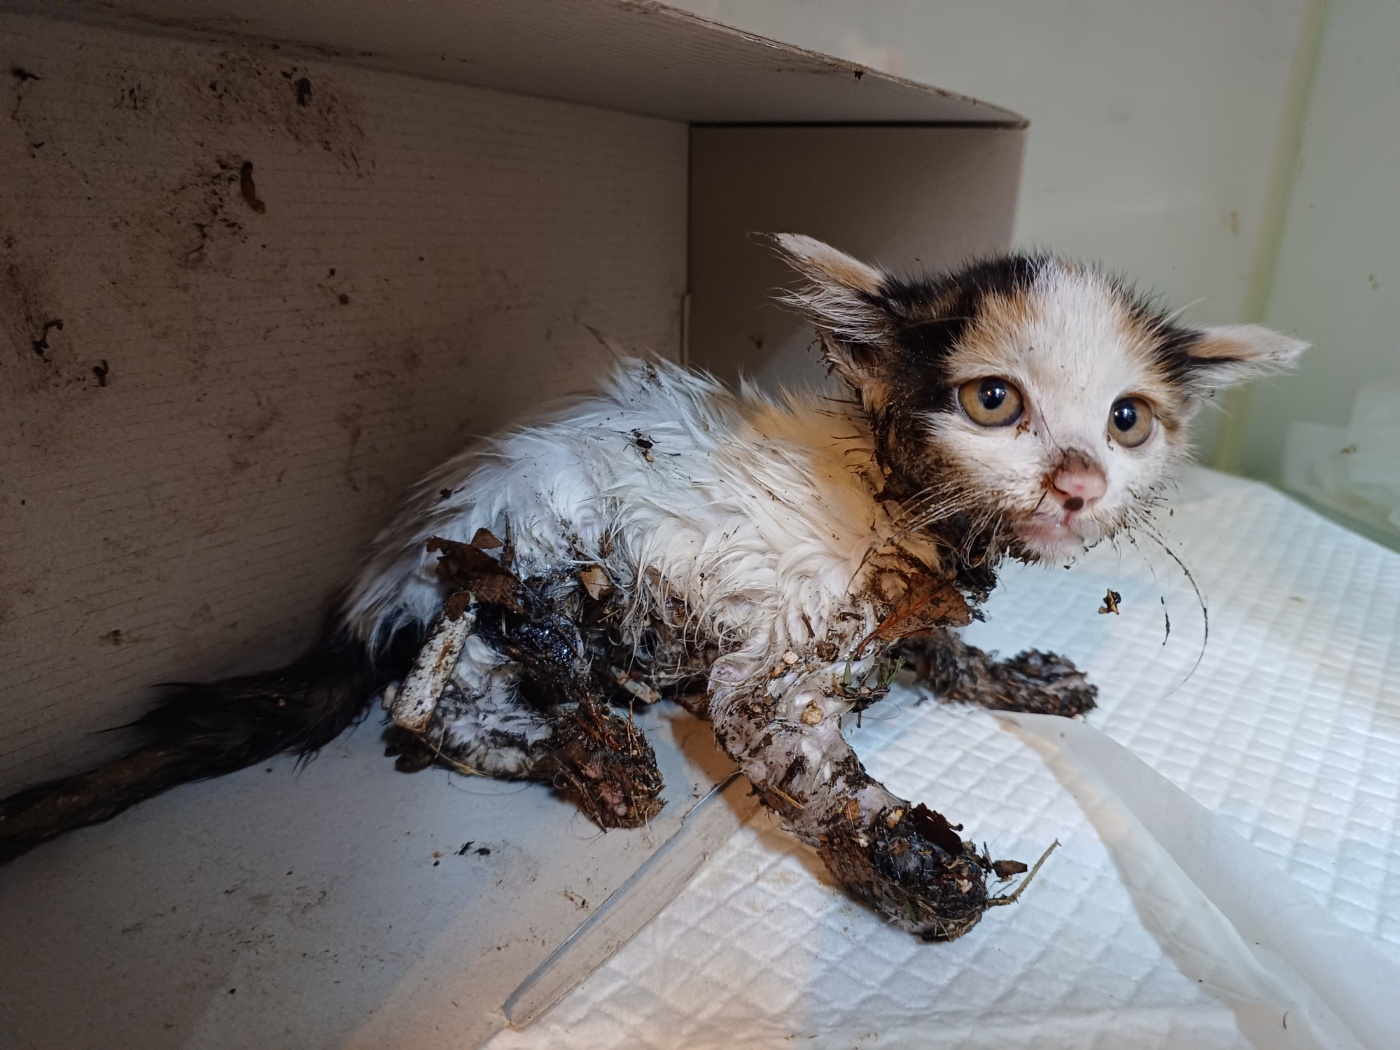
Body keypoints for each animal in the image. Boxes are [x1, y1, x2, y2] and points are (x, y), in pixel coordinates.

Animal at [0, 238, 1299, 946]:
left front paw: (1017, 675)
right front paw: (905, 860)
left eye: (1127, 421)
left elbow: (934, 653)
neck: (907, 523)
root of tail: (372, 590)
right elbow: (815, 774)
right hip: (522, 576)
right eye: (993, 402)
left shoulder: (902, 613)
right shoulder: (762, 673)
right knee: (424, 708)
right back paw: (587, 755)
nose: (1077, 483)